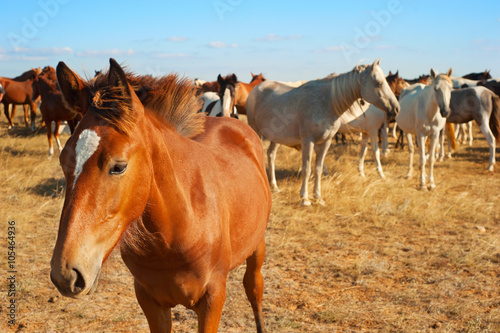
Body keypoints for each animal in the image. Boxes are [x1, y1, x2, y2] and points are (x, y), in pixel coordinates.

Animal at [49, 59, 274, 332]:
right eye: (63, 160)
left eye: (118, 166)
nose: (65, 274)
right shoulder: (149, 299)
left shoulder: (213, 298)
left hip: (257, 245)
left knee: (254, 287)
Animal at [246, 59, 398, 205]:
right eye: (379, 83)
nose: (396, 108)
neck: (327, 102)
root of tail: (255, 90)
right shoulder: (308, 141)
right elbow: (307, 169)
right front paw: (305, 199)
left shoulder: (326, 141)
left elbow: (318, 169)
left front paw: (318, 197)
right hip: (257, 132)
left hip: (276, 137)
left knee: (271, 155)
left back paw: (274, 186)